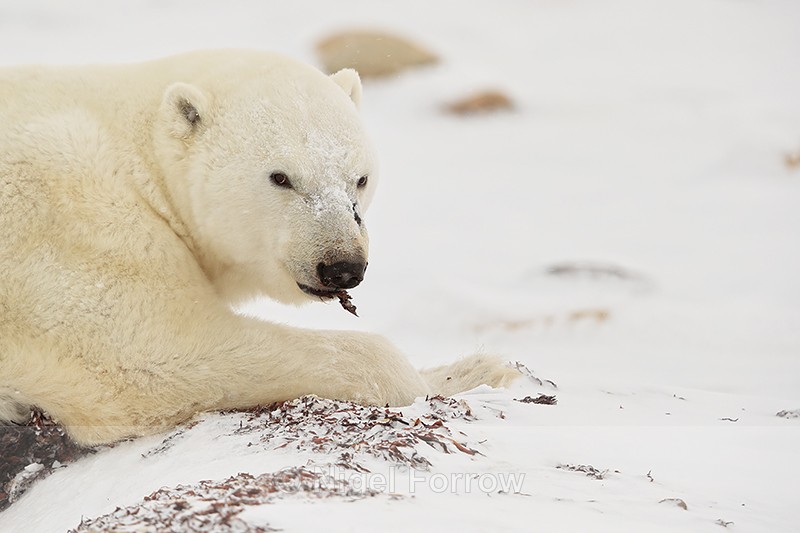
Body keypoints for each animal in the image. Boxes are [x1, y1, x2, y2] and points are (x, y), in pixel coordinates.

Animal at [0, 50, 519, 445]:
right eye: (281, 177)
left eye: (360, 178)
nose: (341, 266)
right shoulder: (69, 219)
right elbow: (152, 353)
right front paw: (454, 376)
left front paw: (482, 366)